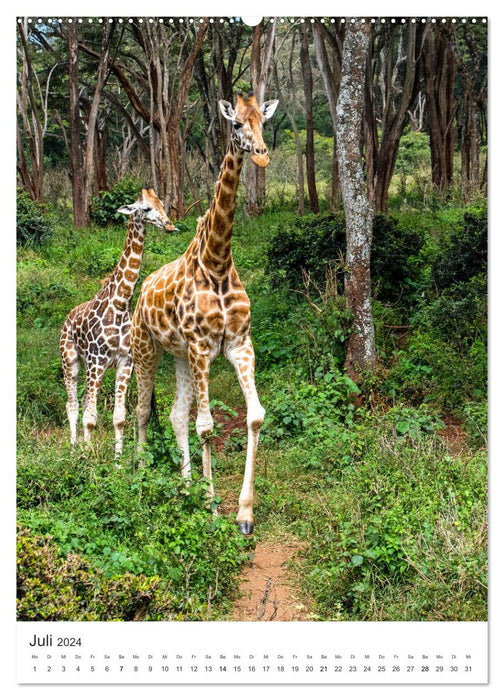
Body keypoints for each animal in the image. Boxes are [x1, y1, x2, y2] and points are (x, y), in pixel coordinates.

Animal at [59, 187, 175, 460]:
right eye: (146, 208)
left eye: (162, 205)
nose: (169, 225)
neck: (121, 303)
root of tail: (67, 318)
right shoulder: (96, 361)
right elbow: (91, 417)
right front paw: (89, 460)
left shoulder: (125, 362)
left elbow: (119, 417)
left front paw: (118, 462)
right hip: (71, 361)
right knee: (72, 405)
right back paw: (74, 449)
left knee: (82, 403)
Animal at [132, 91, 278, 532]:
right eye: (237, 124)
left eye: (263, 122)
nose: (262, 156)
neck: (217, 261)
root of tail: (141, 290)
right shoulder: (201, 347)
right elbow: (207, 425)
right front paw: (213, 509)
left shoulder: (239, 343)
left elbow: (255, 416)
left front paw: (244, 513)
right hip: (147, 350)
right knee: (143, 411)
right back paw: (140, 479)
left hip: (178, 356)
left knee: (176, 415)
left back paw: (183, 489)